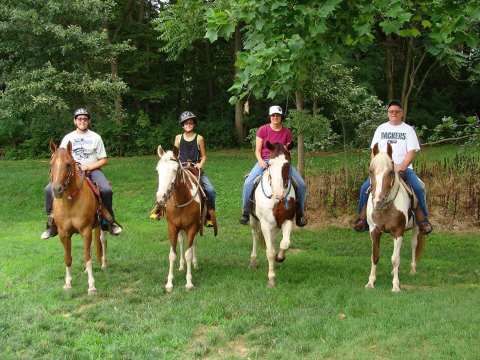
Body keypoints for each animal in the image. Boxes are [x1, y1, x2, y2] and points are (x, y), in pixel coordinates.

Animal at [49, 139, 107, 294]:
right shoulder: (63, 234)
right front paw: (68, 283)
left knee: (102, 240)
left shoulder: (85, 230)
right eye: (51, 163)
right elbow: (68, 258)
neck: (70, 201)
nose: (57, 190)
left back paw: (104, 264)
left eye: (68, 164)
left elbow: (87, 257)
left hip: (101, 226)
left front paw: (91, 286)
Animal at [156, 145, 204, 292]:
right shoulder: (172, 227)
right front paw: (169, 283)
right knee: (182, 241)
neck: (182, 198)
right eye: (158, 170)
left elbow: (189, 253)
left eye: (174, 170)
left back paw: (195, 264)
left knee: (193, 244)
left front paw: (189, 282)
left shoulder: (193, 227)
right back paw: (182, 266)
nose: (160, 198)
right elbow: (172, 255)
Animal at [248, 141, 296, 286]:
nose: (278, 193)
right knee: (255, 235)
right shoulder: (265, 224)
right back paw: (253, 261)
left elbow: (285, 243)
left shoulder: (287, 220)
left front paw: (279, 257)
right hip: (253, 220)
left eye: (287, 164)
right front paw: (271, 278)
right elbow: (269, 251)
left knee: (274, 240)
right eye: (269, 164)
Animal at [366, 142, 426, 292]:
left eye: (390, 172)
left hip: (416, 228)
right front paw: (370, 282)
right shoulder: (374, 231)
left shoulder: (398, 231)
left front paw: (395, 286)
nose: (379, 201)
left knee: (413, 245)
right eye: (370, 171)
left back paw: (412, 270)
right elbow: (375, 256)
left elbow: (395, 259)